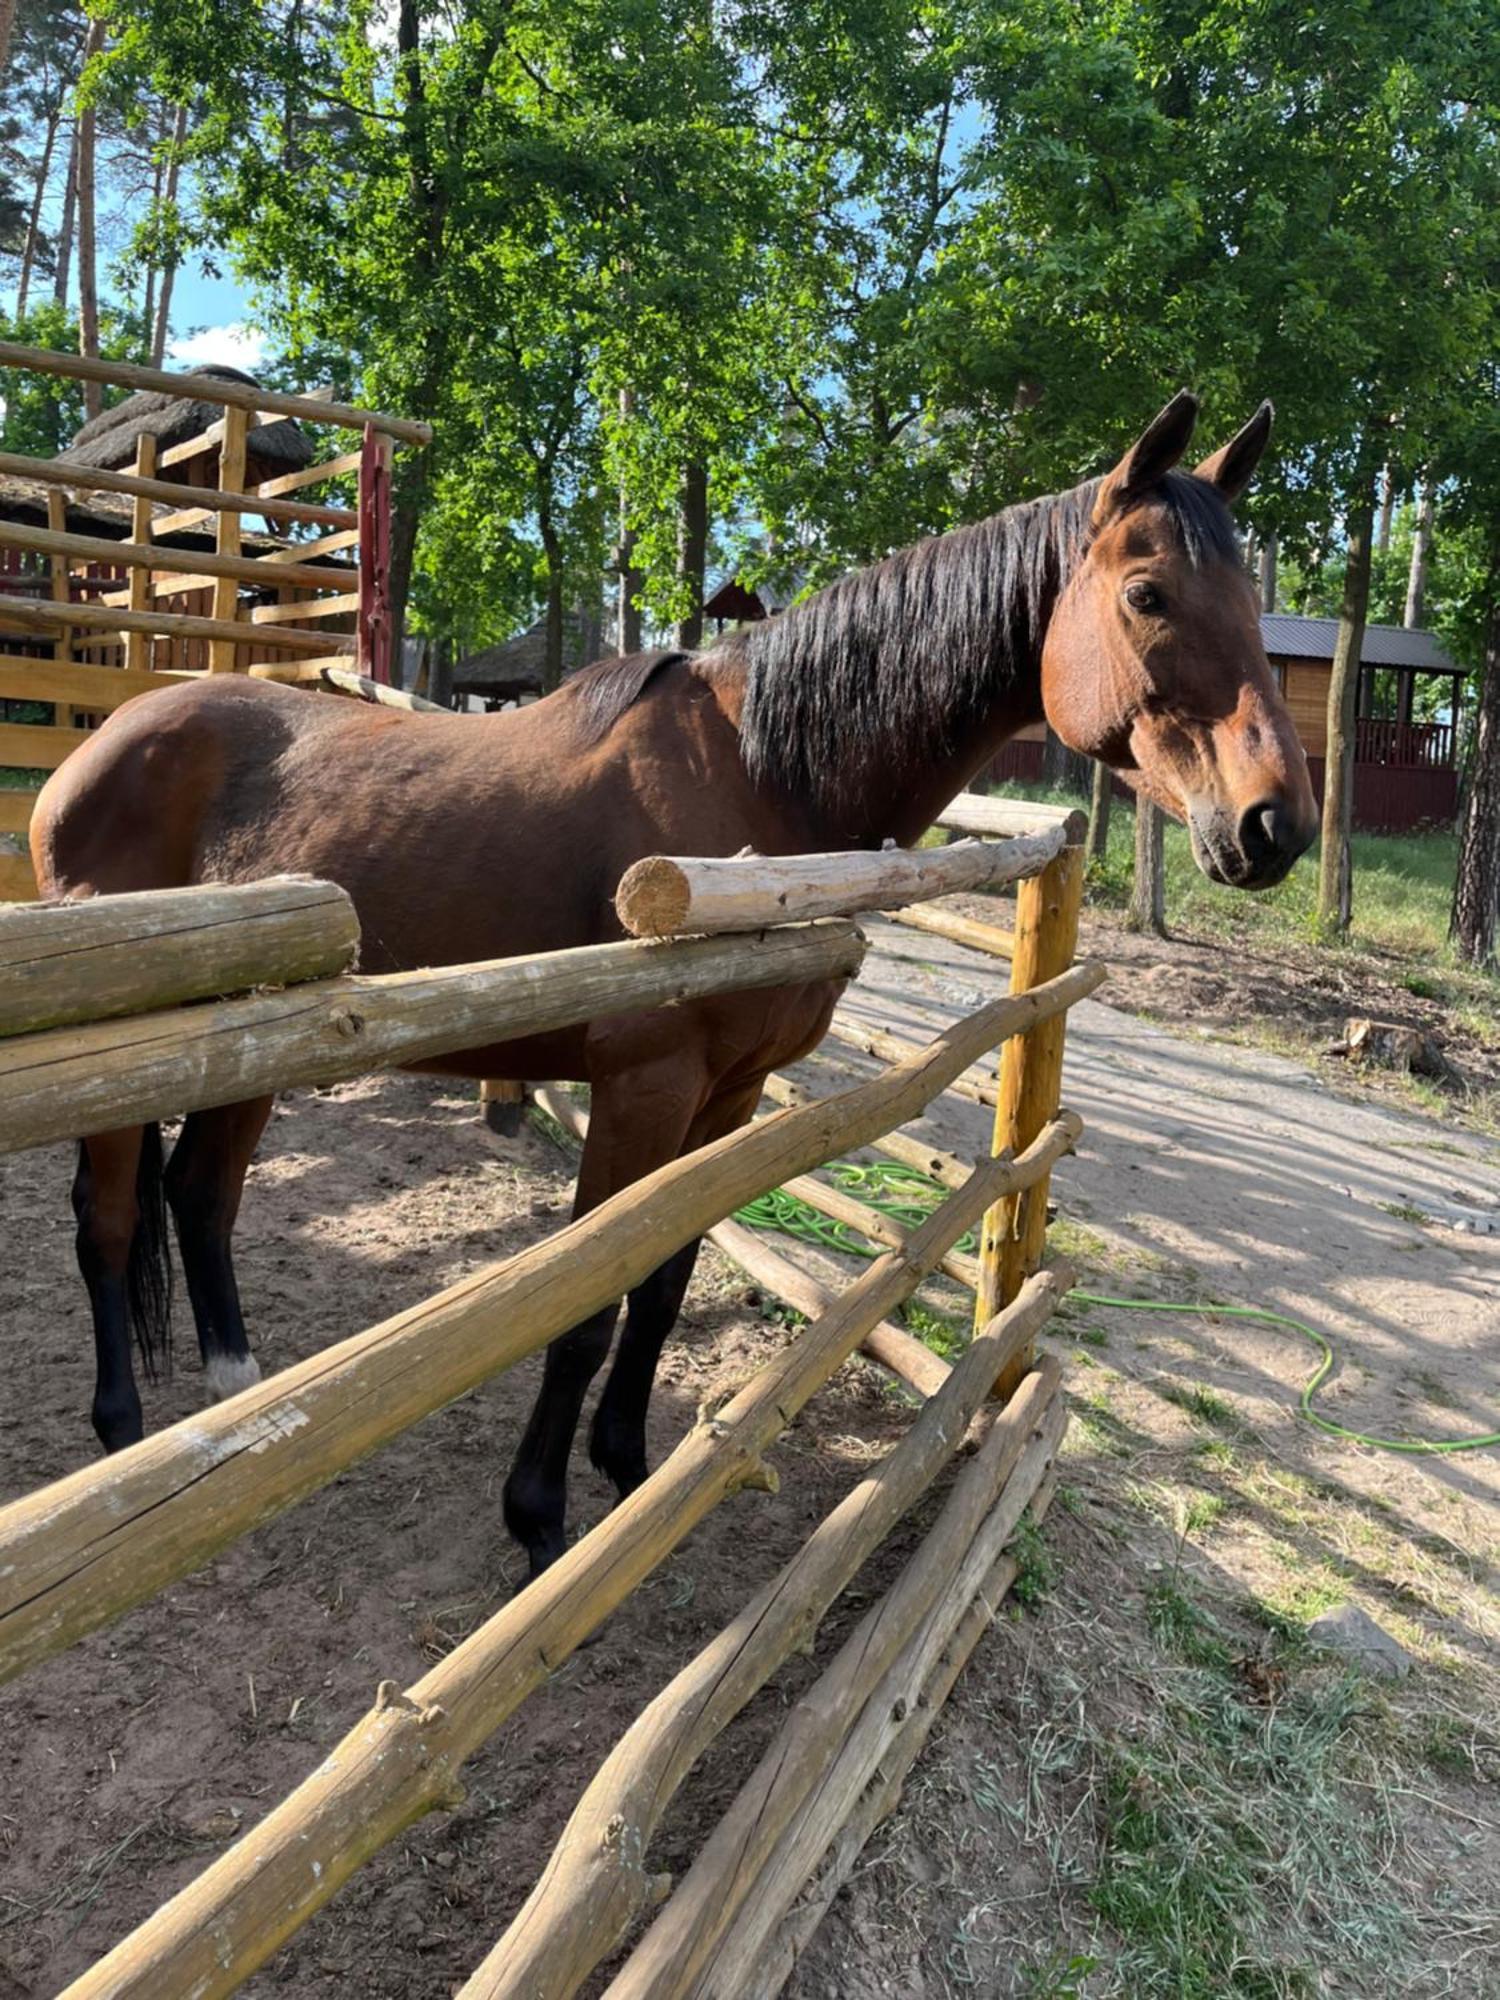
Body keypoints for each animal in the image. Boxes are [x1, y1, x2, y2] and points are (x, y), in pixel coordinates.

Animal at [26, 390, 1312, 1576]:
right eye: (1148, 595)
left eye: (1252, 608)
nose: (1277, 826)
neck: (764, 780)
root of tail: (95, 755)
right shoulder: (643, 1087)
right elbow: (591, 1298)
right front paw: (541, 1517)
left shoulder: (728, 1094)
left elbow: (663, 1280)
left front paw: (631, 1464)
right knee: (110, 1216)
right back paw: (122, 1430)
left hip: (258, 1044)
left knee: (200, 1194)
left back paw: (233, 1404)